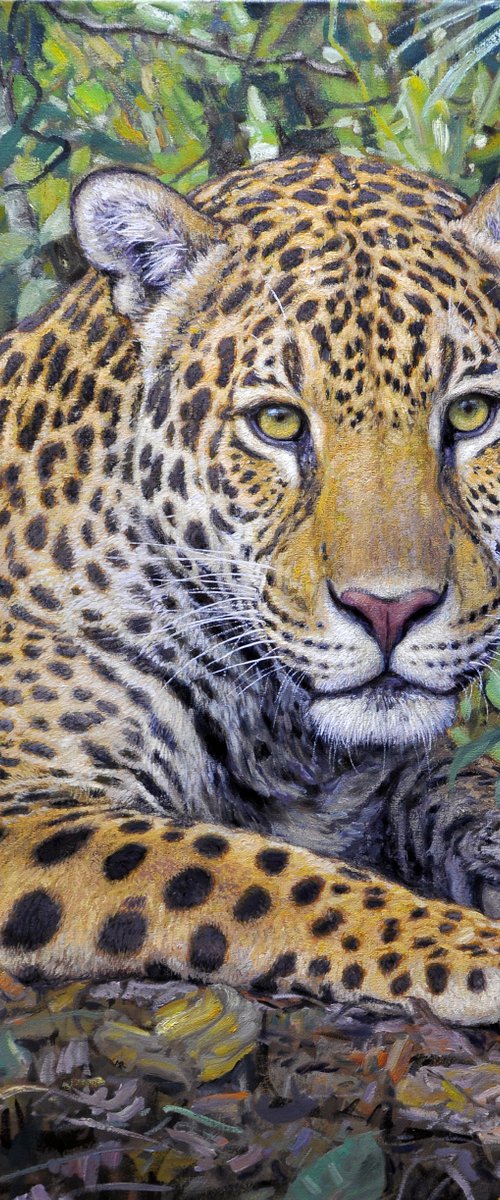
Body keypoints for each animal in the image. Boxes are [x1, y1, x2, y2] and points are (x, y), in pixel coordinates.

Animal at [0, 151, 499, 1025]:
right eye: (277, 423)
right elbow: (253, 873)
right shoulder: (25, 801)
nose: (391, 610)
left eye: (472, 413)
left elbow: (473, 791)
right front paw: (475, 949)